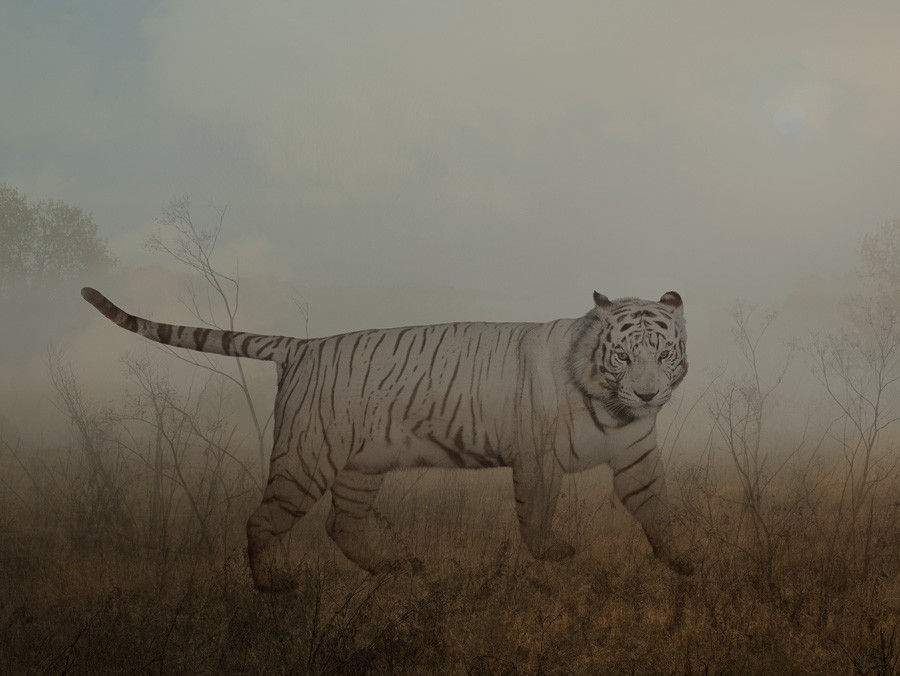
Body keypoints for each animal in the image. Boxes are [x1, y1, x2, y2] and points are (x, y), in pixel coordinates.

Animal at [81, 286, 693, 592]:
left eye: (663, 353)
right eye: (624, 355)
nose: (646, 395)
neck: (613, 409)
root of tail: (303, 345)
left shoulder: (636, 456)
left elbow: (657, 507)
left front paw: (685, 560)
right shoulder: (537, 458)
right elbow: (537, 512)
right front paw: (555, 555)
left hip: (360, 468)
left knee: (342, 524)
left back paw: (398, 570)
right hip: (307, 457)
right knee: (263, 518)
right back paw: (274, 585)